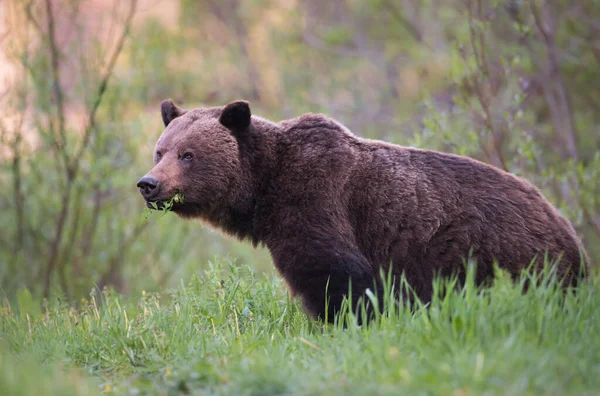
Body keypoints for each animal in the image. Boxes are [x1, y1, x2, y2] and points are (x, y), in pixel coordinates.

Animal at [138, 99, 588, 322]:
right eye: (161, 150)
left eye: (188, 154)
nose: (148, 184)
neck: (265, 190)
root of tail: (569, 231)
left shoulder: (317, 201)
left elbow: (335, 274)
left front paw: (342, 322)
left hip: (498, 253)